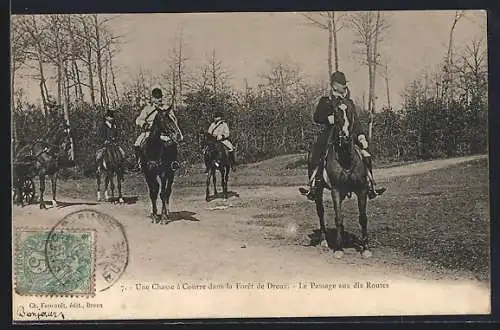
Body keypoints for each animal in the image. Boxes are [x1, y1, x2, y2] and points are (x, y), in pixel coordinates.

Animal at [306, 107, 374, 260]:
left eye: (351, 115)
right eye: (336, 116)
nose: (345, 137)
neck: (345, 160)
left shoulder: (361, 190)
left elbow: (363, 218)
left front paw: (366, 248)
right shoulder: (335, 190)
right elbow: (338, 218)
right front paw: (338, 249)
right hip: (319, 191)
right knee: (321, 212)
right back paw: (324, 241)